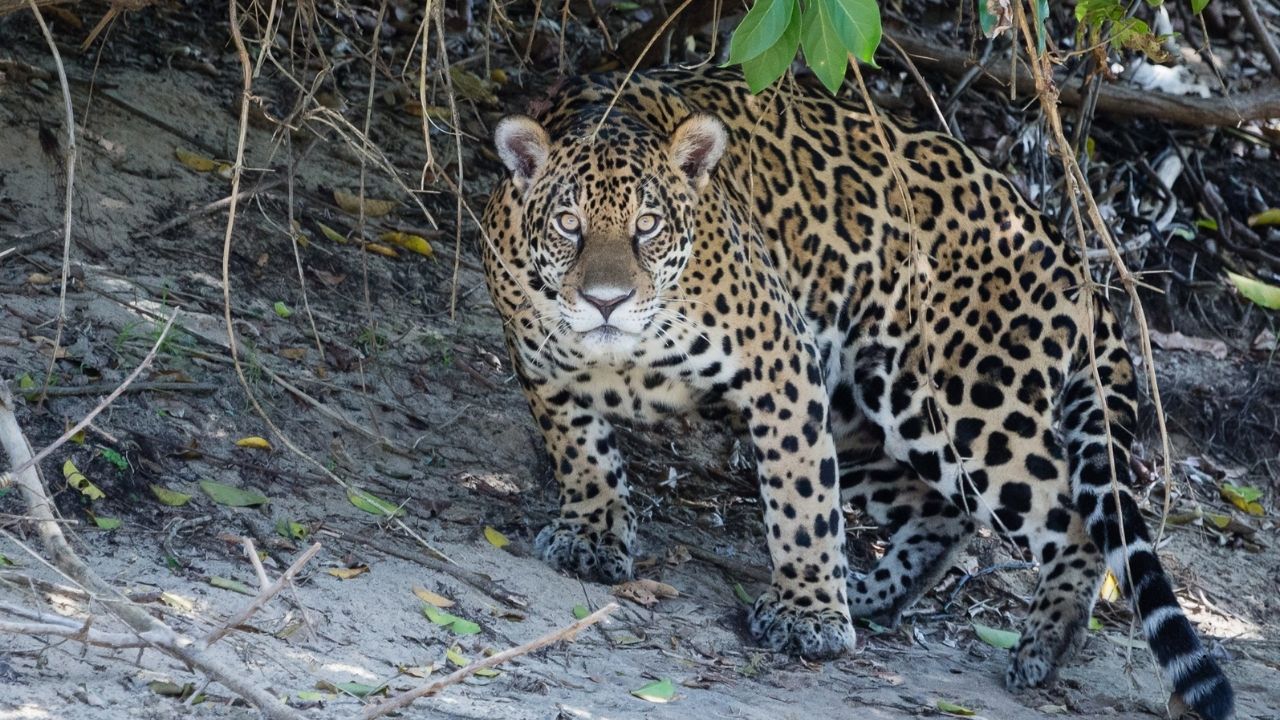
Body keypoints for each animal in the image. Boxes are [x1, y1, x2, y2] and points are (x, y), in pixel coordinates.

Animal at [480, 65, 1234, 719]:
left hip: (956, 401)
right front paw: (591, 532)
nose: (605, 300)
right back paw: (871, 591)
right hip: (861, 415)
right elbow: (580, 452)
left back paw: (1044, 644)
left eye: (648, 226)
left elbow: (800, 501)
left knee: (1068, 515)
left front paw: (808, 616)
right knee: (943, 512)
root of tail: (1065, 247)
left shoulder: (779, 363)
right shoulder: (542, 367)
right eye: (569, 224)